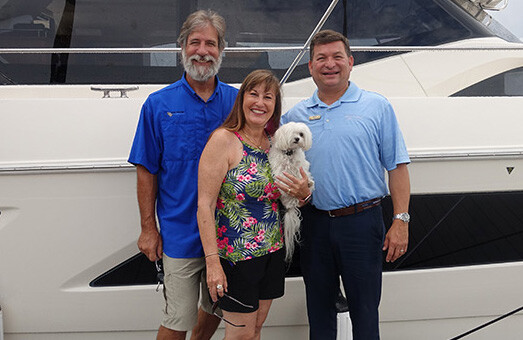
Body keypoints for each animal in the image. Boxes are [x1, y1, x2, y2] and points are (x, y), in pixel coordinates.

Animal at [270, 121, 316, 262]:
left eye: (301, 134)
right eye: (292, 133)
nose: (297, 139)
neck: (289, 153)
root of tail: (291, 205)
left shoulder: (300, 166)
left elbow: (301, 172)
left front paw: (306, 183)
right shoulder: (279, 168)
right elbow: (281, 174)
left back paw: (309, 183)